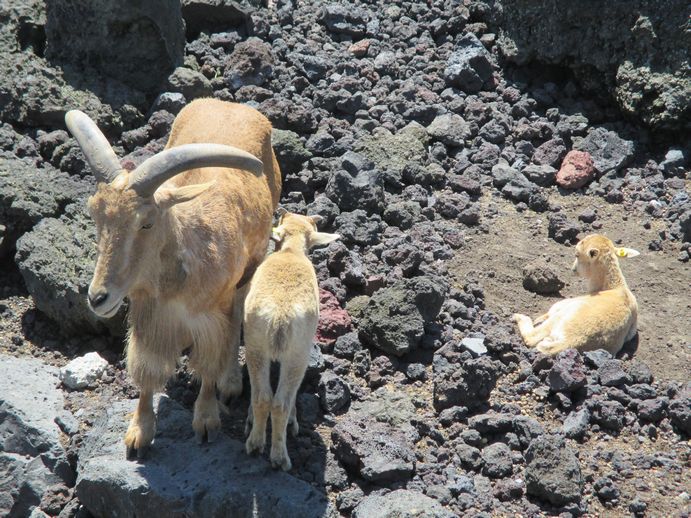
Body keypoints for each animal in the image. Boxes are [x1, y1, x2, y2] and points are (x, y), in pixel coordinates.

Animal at [65, 98, 282, 460]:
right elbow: (148, 370)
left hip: (252, 260)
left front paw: (206, 420)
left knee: (238, 311)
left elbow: (208, 363)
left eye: (147, 222)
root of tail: (231, 105)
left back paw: (231, 381)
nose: (98, 298)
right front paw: (138, 434)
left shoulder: (212, 314)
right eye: (95, 214)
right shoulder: (148, 316)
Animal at [245, 211, 340, 472]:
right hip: (298, 353)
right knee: (280, 403)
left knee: (262, 397)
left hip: (255, 343)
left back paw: (255, 443)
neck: (291, 251)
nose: (284, 212)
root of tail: (280, 315)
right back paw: (280, 457)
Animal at [512, 236, 644, 358]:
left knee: (532, 338)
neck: (615, 287)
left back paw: (519, 317)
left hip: (562, 315)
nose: (573, 269)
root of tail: (569, 341)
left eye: (577, 255)